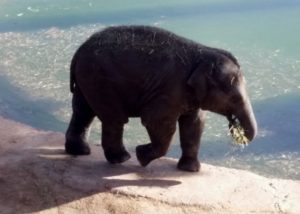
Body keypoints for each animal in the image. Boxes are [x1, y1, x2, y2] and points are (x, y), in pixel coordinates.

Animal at [65, 25, 258, 172]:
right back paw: (122, 158)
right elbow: (159, 122)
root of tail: (78, 52)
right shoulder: (170, 89)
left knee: (82, 111)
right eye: (233, 98)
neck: (203, 53)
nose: (235, 126)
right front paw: (141, 156)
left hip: (87, 79)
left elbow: (194, 123)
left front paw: (190, 170)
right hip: (100, 80)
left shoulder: (190, 95)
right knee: (113, 118)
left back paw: (81, 151)